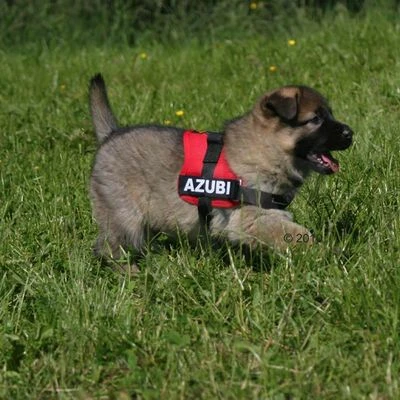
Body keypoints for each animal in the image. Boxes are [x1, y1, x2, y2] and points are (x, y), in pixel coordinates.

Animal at [89, 74, 353, 272]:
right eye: (316, 119)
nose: (350, 133)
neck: (265, 146)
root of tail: (111, 135)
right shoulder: (250, 217)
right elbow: (297, 234)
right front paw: (326, 252)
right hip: (124, 216)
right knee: (109, 248)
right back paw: (130, 271)